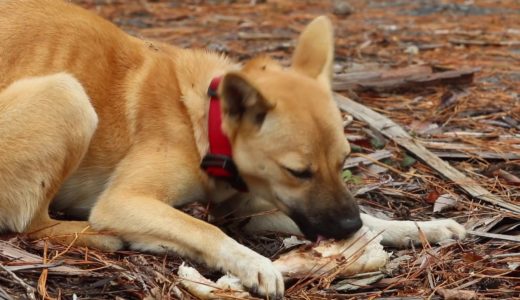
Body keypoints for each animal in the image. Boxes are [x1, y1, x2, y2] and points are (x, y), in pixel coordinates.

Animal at [0, 0, 464, 298]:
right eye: (298, 171)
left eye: (345, 160)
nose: (346, 228)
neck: (205, 124)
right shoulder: (124, 200)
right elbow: (207, 230)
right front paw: (252, 263)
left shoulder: (253, 208)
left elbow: (374, 220)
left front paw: (422, 227)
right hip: (68, 96)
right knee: (31, 225)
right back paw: (114, 238)